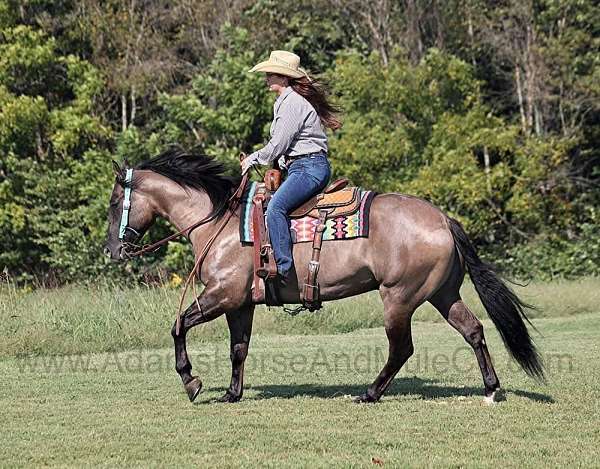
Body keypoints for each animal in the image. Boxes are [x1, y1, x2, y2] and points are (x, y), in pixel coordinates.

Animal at [103, 148, 544, 404]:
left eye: (113, 202)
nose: (113, 250)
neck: (219, 224)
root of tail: (442, 219)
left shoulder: (222, 295)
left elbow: (179, 324)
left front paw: (191, 382)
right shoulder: (240, 303)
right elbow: (238, 349)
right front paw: (231, 393)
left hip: (399, 298)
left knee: (402, 348)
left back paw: (369, 393)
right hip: (443, 294)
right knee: (474, 331)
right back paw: (491, 389)